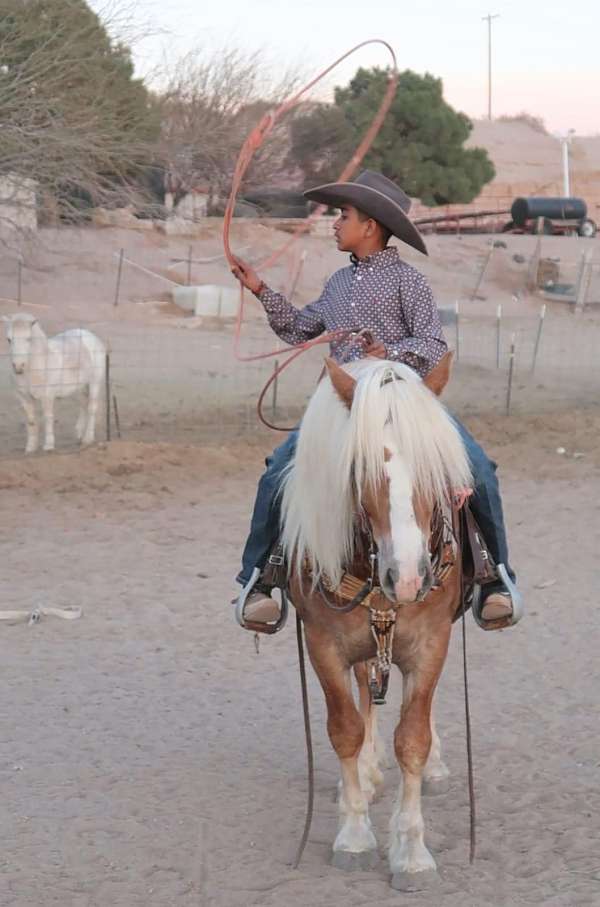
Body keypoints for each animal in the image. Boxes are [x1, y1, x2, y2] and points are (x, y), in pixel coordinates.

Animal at [2, 314, 106, 454]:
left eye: (29, 339)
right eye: (9, 339)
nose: (18, 367)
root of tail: (90, 336)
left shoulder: (47, 397)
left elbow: (48, 418)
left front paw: (49, 445)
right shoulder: (24, 398)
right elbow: (31, 420)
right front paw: (30, 447)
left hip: (94, 383)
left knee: (91, 408)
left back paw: (87, 438)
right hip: (79, 387)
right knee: (83, 405)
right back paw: (79, 434)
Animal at [282, 352, 474, 892]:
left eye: (436, 467)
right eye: (360, 469)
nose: (407, 577)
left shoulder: (431, 643)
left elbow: (412, 737)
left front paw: (412, 854)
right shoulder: (323, 643)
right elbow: (345, 728)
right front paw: (354, 836)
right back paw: (367, 775)